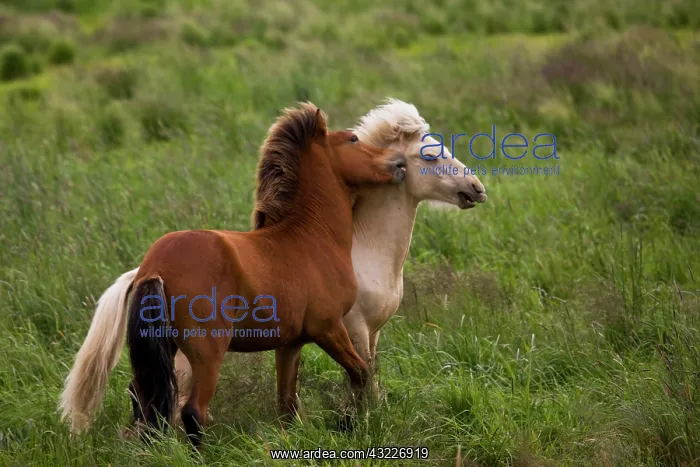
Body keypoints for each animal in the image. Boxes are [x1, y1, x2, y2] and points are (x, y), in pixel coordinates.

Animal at [58, 102, 407, 447]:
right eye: (353, 139)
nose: (399, 163)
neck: (309, 238)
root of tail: (154, 266)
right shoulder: (328, 328)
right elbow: (360, 373)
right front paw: (351, 422)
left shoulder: (290, 344)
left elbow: (287, 402)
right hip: (207, 353)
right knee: (192, 411)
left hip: (164, 349)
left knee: (144, 399)